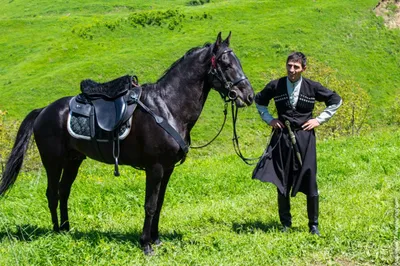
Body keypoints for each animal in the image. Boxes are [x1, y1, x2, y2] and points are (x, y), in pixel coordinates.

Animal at [0, 32, 253, 255]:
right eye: (226, 64)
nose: (249, 95)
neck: (167, 107)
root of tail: (44, 110)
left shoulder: (168, 169)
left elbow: (160, 203)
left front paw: (156, 239)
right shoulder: (155, 168)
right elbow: (150, 205)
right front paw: (146, 245)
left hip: (73, 160)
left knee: (64, 191)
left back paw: (66, 229)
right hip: (53, 162)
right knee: (52, 193)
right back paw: (55, 231)